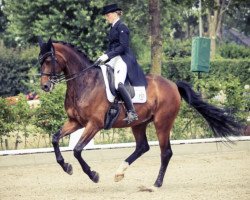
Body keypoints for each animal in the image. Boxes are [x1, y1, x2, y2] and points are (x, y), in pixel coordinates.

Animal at [38, 38, 243, 188]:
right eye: (39, 61)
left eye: (48, 60)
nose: (45, 86)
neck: (85, 82)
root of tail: (172, 84)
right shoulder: (76, 121)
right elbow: (55, 139)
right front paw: (66, 167)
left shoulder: (94, 124)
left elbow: (78, 150)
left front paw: (93, 175)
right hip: (139, 123)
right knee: (142, 147)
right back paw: (119, 172)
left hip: (162, 123)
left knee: (165, 152)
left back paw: (156, 183)